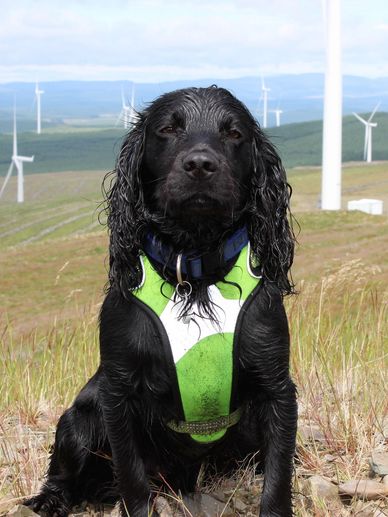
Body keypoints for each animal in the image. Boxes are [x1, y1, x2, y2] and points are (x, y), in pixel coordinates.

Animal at [27, 87, 298, 516]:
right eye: (168, 129)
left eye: (234, 133)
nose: (200, 164)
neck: (195, 272)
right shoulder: (117, 393)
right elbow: (133, 478)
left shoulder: (277, 388)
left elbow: (277, 476)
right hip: (79, 418)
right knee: (65, 470)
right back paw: (50, 499)